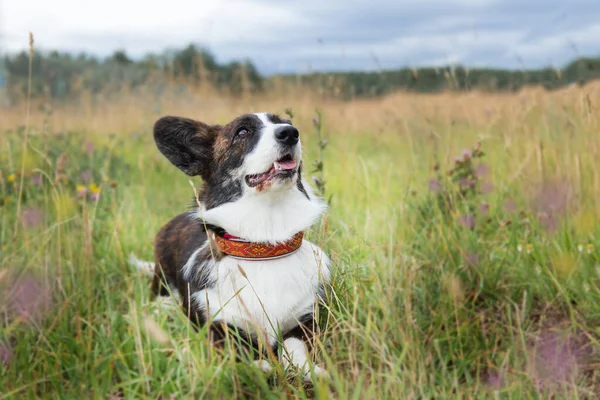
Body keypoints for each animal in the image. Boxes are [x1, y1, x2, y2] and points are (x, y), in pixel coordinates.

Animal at [129, 111, 332, 382]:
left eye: (285, 122)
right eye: (242, 132)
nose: (290, 132)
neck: (265, 243)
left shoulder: (308, 319)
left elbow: (295, 345)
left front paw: (307, 369)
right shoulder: (216, 323)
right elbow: (234, 347)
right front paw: (257, 365)